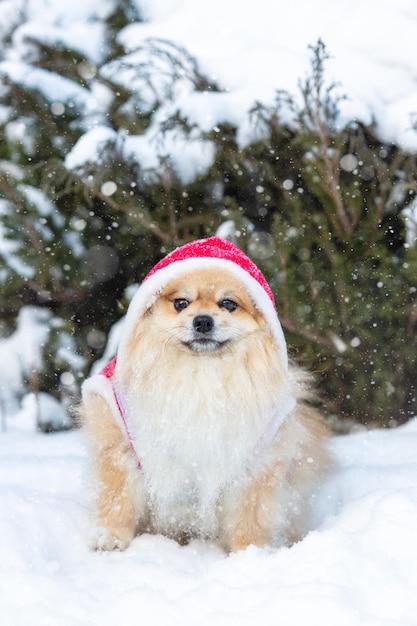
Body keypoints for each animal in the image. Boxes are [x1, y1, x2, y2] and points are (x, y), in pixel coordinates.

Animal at [80, 236, 328, 548]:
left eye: (228, 303)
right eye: (181, 303)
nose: (203, 320)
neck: (201, 373)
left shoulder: (259, 458)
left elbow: (251, 514)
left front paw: (250, 551)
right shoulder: (121, 441)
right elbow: (118, 497)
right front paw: (110, 535)